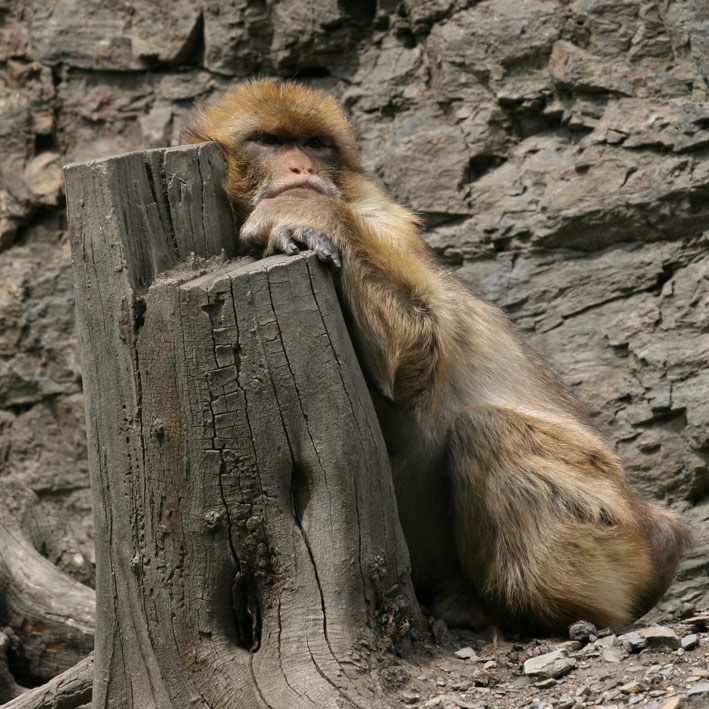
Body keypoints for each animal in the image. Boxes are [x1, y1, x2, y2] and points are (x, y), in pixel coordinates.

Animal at [184, 78, 689, 634]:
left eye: (315, 144)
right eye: (270, 141)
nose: (300, 171)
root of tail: (658, 530)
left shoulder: (383, 220)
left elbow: (414, 362)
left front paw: (305, 213)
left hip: (612, 532)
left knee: (487, 431)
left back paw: (524, 611)